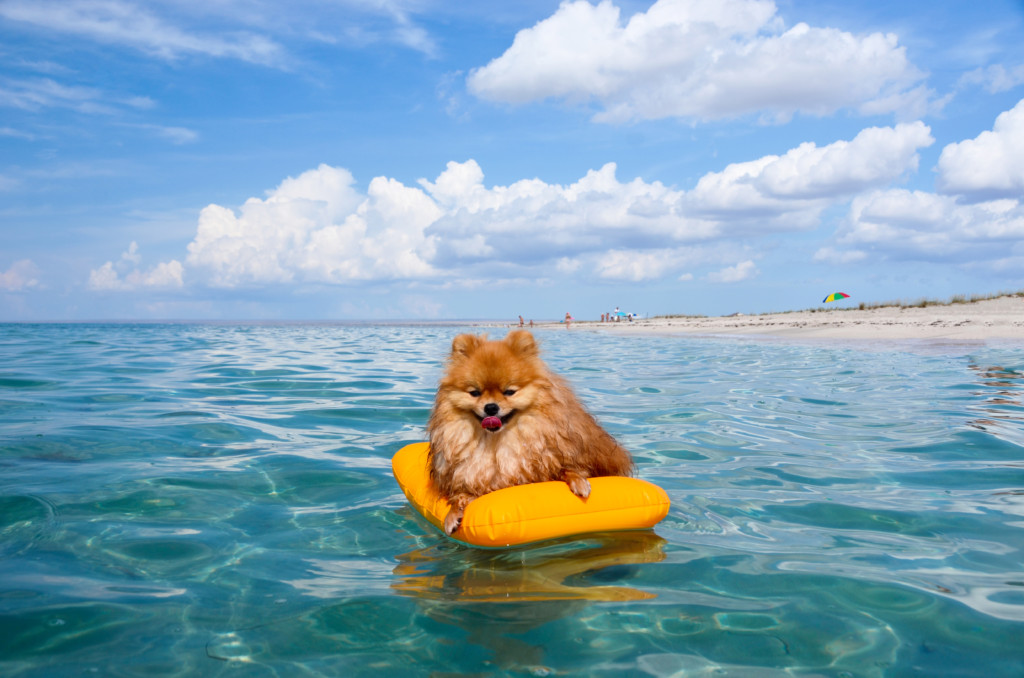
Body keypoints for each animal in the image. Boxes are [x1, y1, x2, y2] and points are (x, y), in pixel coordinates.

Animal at [425, 329, 630, 536]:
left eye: (509, 392)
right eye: (475, 393)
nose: (491, 407)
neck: (497, 442)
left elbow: (568, 469)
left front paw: (579, 482)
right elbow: (461, 495)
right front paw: (453, 514)